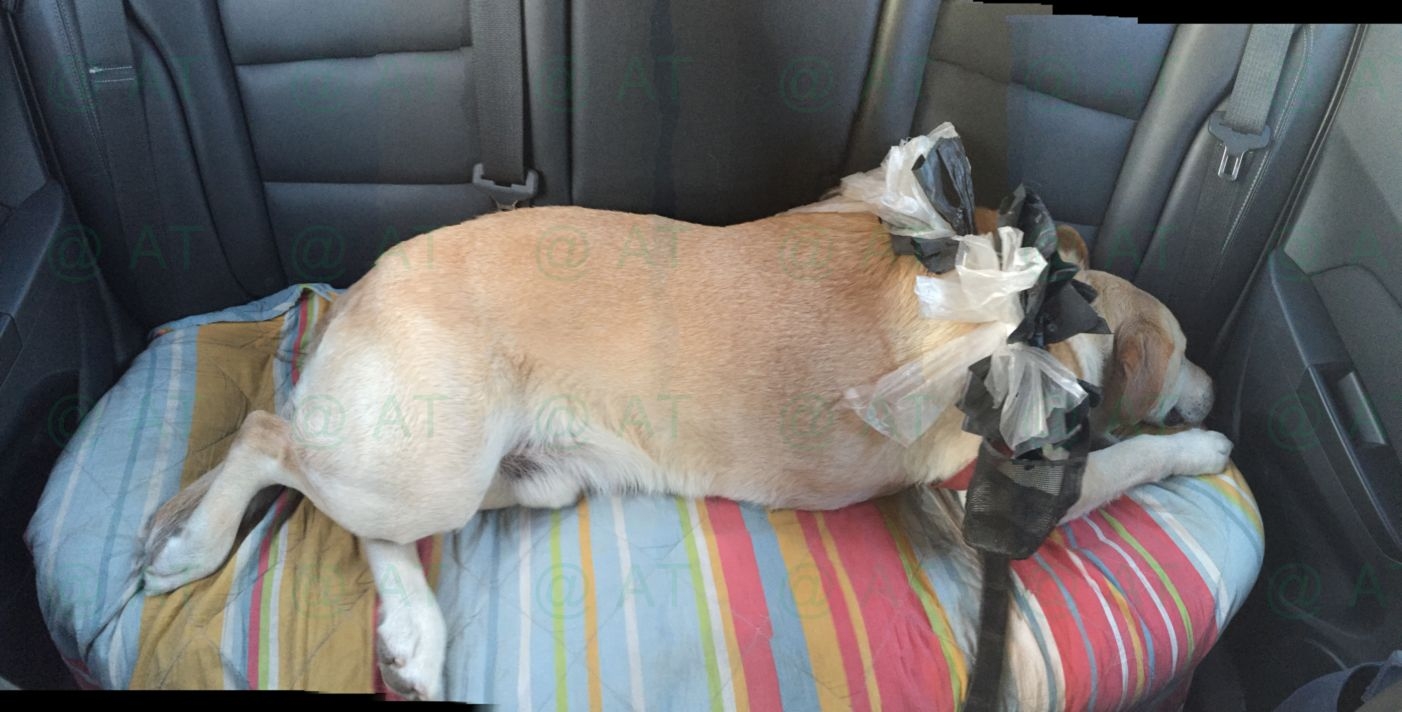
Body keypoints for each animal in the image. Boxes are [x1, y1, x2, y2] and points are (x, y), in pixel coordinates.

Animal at [141, 203, 1232, 700]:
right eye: (1187, 348)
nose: (1221, 387)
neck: (1036, 325)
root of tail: (365, 287)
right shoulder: (998, 489)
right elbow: (1130, 462)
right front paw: (1204, 440)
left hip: (519, 480)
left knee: (365, 519)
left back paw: (413, 629)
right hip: (424, 462)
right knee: (267, 438)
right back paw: (196, 543)